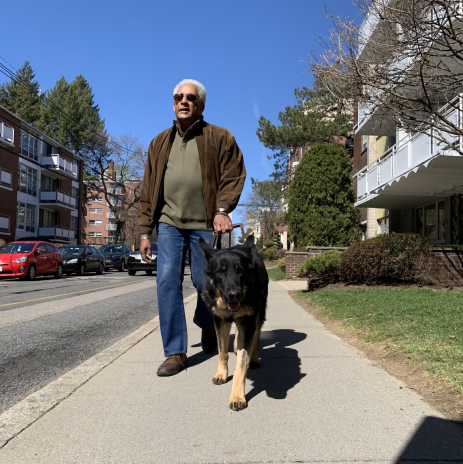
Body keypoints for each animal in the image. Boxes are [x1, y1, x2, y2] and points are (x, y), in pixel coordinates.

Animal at [198, 236, 268, 410]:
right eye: (220, 271)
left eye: (240, 270)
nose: (234, 295)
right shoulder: (220, 320)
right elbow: (222, 351)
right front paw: (221, 374)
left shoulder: (248, 322)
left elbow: (241, 365)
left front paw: (237, 397)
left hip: (258, 314)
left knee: (256, 336)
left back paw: (254, 358)